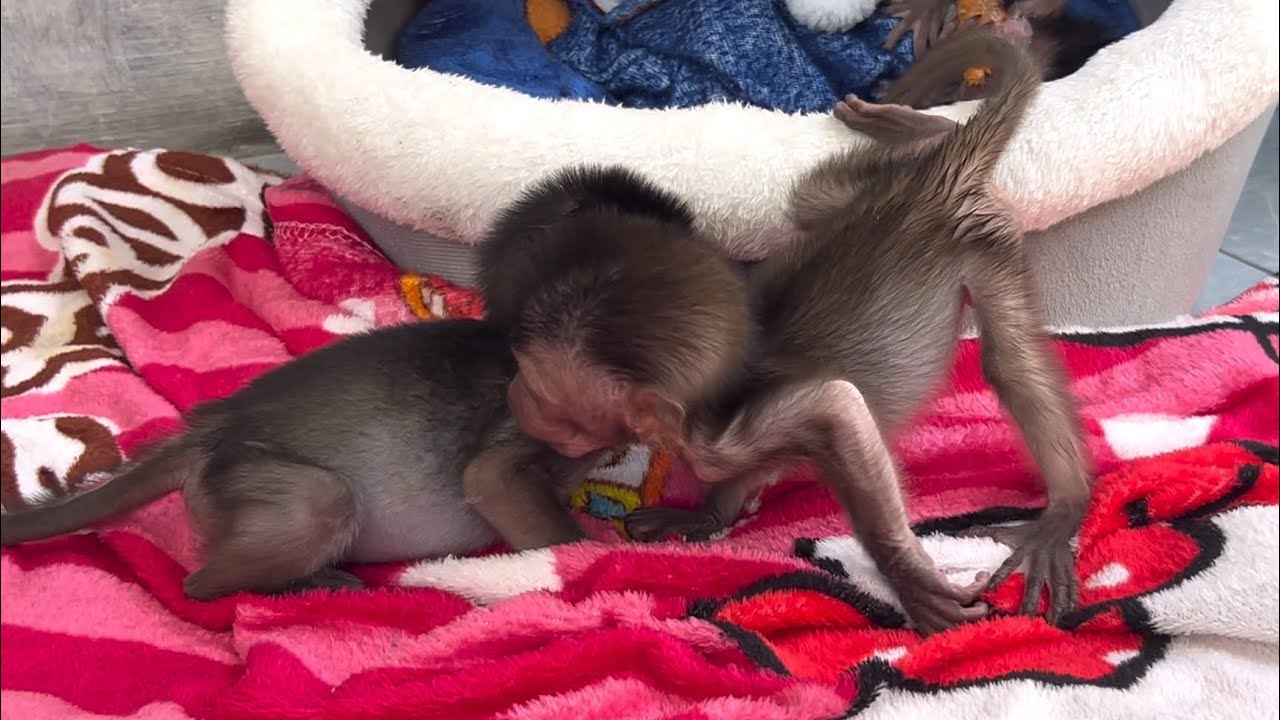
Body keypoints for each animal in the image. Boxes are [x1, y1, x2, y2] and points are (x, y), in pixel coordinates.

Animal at [0, 319, 601, 599]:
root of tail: (210, 427)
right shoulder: (505, 467)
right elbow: (556, 532)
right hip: (312, 497)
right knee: (202, 584)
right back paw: (322, 583)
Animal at [491, 32, 1090, 634]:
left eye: (541, 393)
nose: (513, 395)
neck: (700, 413)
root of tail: (934, 178)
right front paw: (706, 515)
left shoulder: (723, 440)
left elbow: (838, 407)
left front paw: (907, 578)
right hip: (891, 198)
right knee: (811, 198)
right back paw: (922, 129)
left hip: (982, 242)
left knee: (1008, 364)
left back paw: (1062, 509)